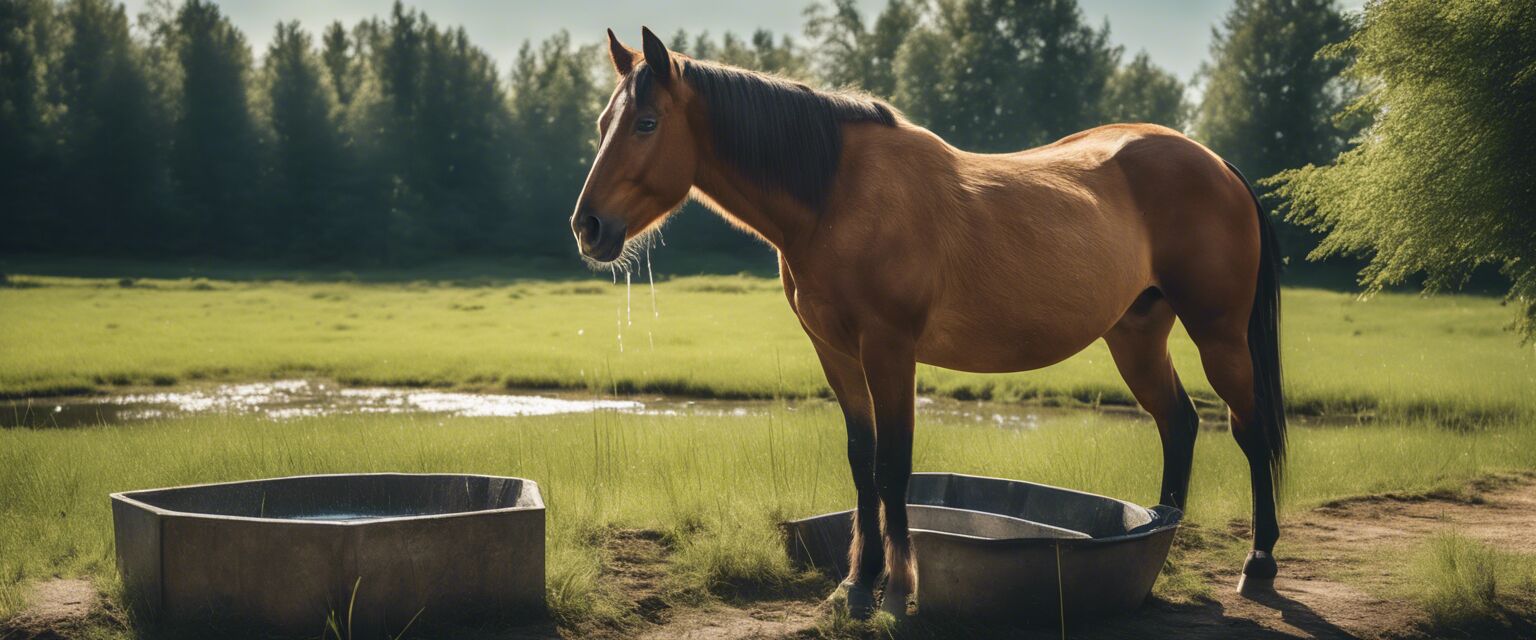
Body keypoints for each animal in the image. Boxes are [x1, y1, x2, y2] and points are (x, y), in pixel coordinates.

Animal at [571, 27, 1290, 616]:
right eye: (603, 121)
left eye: (646, 122)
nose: (589, 226)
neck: (837, 196)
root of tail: (1216, 164)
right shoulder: (837, 352)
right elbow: (862, 461)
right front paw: (854, 586)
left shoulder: (891, 349)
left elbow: (894, 465)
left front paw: (896, 590)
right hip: (1136, 335)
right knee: (1179, 421)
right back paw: (1162, 532)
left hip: (1219, 333)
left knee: (1248, 430)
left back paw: (1259, 564)